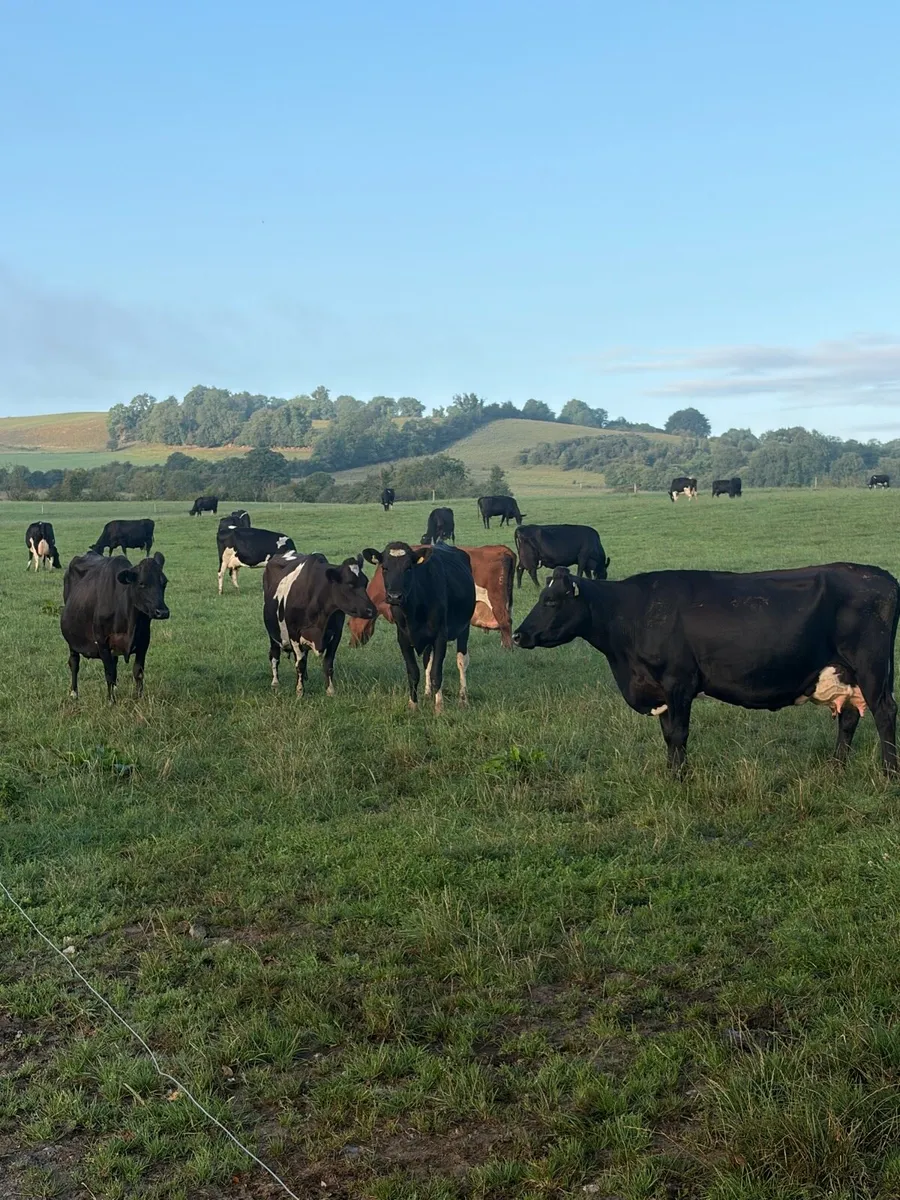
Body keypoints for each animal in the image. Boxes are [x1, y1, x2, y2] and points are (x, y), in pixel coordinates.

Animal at [60, 550, 169, 702]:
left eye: (164, 582)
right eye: (142, 583)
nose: (163, 612)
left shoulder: (144, 641)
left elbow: (138, 672)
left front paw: (139, 697)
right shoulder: (102, 642)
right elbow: (109, 673)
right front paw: (111, 700)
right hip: (73, 639)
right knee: (74, 662)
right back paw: (74, 693)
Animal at [263, 552, 377, 696]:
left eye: (365, 582)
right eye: (350, 584)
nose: (371, 610)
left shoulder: (336, 634)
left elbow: (328, 663)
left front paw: (330, 690)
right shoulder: (294, 634)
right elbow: (299, 665)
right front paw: (300, 692)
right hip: (273, 633)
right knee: (274, 655)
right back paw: (275, 683)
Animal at [361, 542, 476, 712]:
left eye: (409, 568)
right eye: (385, 568)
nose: (394, 596)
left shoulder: (440, 636)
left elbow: (436, 672)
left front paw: (439, 707)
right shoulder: (403, 637)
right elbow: (413, 671)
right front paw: (413, 705)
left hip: (464, 627)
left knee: (461, 661)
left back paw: (463, 699)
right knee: (428, 659)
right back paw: (428, 693)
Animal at [513, 563, 899, 776]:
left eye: (551, 601)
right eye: (540, 598)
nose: (518, 634)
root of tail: (881, 576)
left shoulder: (679, 682)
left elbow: (679, 734)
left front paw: (680, 778)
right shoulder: (661, 690)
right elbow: (668, 735)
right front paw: (671, 773)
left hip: (872, 668)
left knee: (884, 712)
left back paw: (889, 772)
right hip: (848, 674)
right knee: (849, 718)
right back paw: (836, 768)